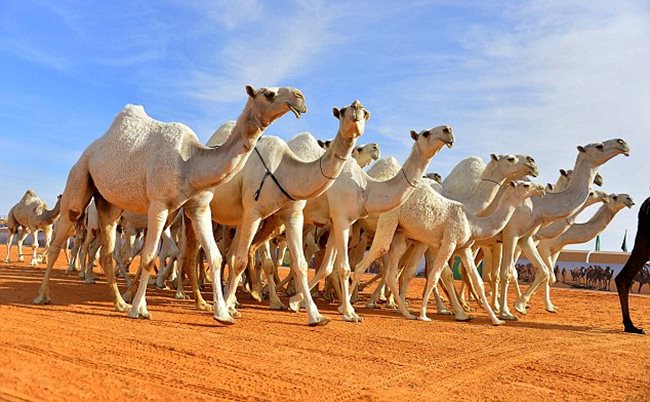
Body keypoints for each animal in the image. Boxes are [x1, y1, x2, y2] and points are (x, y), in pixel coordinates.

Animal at [34, 85, 308, 326]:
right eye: (269, 93)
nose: (300, 97)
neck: (190, 162)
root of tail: (92, 148)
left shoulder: (198, 207)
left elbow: (214, 256)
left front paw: (222, 314)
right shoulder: (159, 204)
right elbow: (148, 257)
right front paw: (139, 310)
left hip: (108, 203)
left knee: (107, 251)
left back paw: (120, 303)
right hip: (79, 177)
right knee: (60, 238)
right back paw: (43, 296)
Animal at [176, 100, 370, 326]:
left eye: (365, 113)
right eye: (343, 112)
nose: (356, 107)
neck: (284, 171)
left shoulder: (292, 215)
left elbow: (300, 264)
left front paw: (315, 316)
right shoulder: (253, 212)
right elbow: (241, 261)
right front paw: (231, 308)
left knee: (206, 254)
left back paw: (210, 301)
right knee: (189, 254)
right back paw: (202, 301)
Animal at [286, 125, 454, 320]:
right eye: (426, 133)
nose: (448, 130)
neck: (366, 189)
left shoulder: (337, 220)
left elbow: (327, 267)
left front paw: (296, 302)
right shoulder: (342, 218)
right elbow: (344, 267)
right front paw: (349, 312)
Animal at [492, 138, 628, 318]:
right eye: (599, 146)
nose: (623, 143)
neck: (540, 206)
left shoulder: (539, 243)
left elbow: (547, 274)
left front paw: (530, 305)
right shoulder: (521, 237)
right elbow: (520, 272)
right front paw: (510, 309)